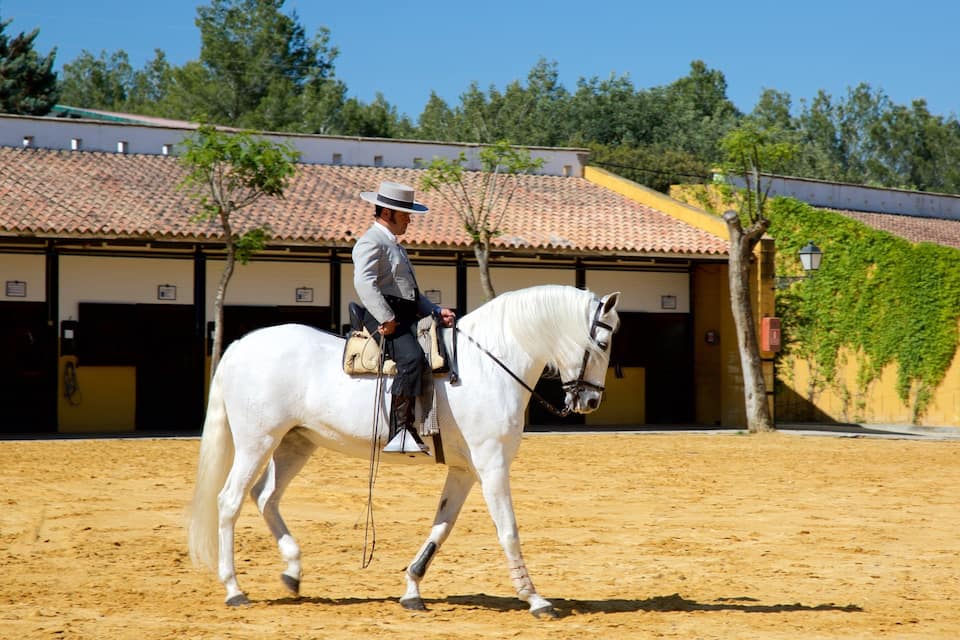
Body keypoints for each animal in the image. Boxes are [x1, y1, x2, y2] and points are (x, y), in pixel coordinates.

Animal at [187, 284, 621, 618]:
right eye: (602, 342)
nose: (591, 401)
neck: (489, 365)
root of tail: (240, 346)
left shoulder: (465, 471)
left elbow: (441, 526)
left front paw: (412, 589)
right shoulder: (492, 465)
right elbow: (508, 529)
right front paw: (535, 599)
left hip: (295, 443)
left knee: (266, 497)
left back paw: (292, 572)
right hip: (257, 442)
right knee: (230, 501)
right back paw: (234, 589)